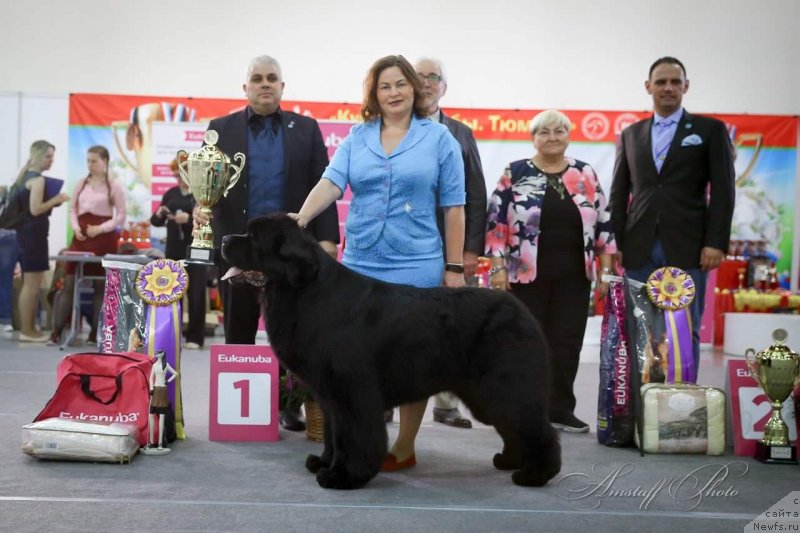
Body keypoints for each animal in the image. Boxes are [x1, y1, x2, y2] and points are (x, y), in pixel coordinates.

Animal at [222, 214, 564, 488]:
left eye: (253, 237)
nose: (224, 239)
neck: (305, 291)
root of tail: (521, 309)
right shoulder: (330, 395)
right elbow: (334, 434)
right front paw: (325, 461)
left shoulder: (353, 392)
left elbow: (354, 436)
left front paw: (343, 476)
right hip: (485, 392)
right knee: (513, 425)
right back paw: (511, 461)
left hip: (505, 384)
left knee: (536, 428)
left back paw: (535, 475)